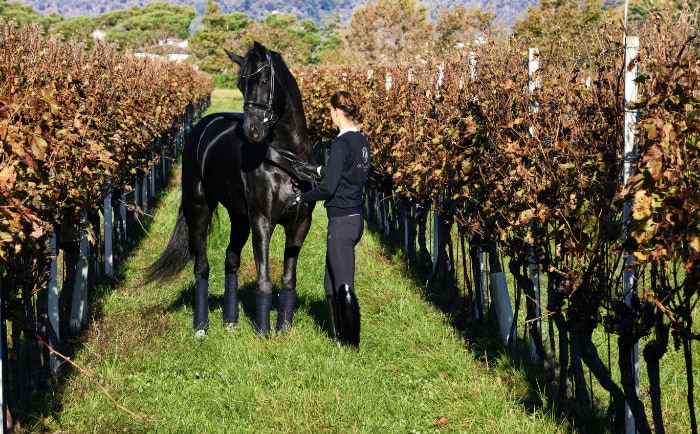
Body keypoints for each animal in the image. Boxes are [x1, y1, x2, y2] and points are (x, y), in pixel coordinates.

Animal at [150, 41, 320, 340]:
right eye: (241, 85)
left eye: (263, 80)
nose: (251, 131)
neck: (285, 162)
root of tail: (204, 126)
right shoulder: (262, 222)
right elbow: (264, 280)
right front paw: (264, 334)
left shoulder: (300, 224)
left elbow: (288, 279)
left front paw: (283, 331)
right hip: (199, 207)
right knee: (202, 266)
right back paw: (201, 328)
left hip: (240, 218)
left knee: (230, 259)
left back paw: (230, 322)